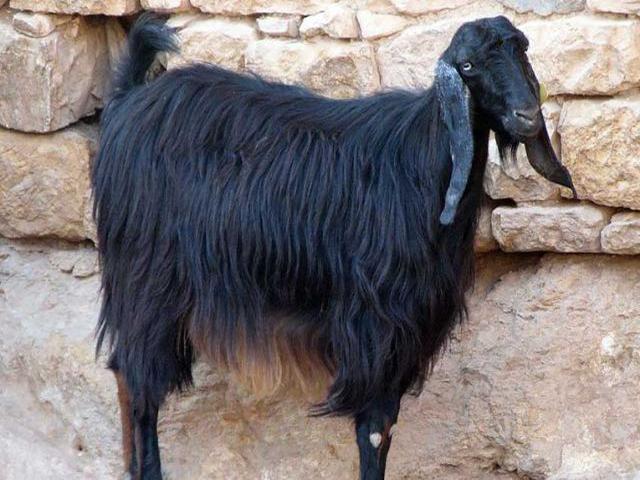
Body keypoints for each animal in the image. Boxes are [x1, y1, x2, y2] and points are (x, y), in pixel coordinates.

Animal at [93, 14, 575, 480]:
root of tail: (128, 101)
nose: (527, 115)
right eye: (469, 66)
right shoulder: (375, 325)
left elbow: (385, 428)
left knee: (125, 372)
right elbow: (375, 431)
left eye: (522, 51)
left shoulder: (406, 333)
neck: (419, 164)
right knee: (139, 380)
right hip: (146, 278)